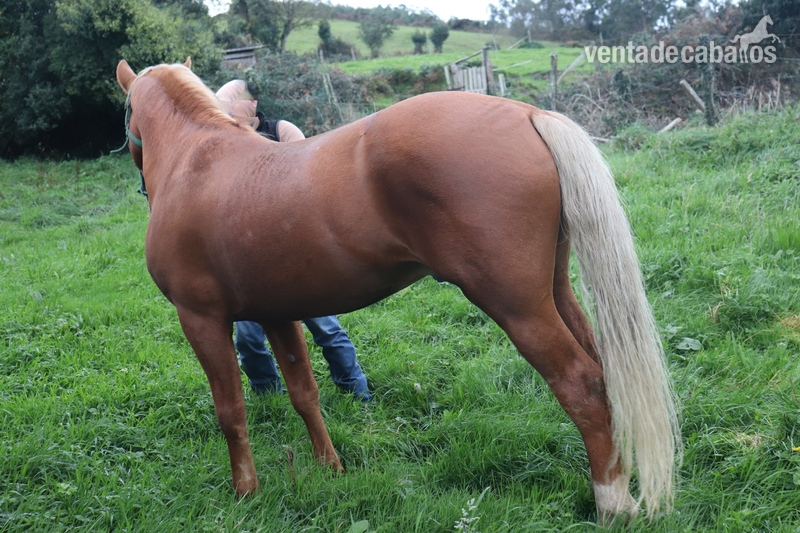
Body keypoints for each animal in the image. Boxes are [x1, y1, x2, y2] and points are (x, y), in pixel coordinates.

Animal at [115, 58, 679, 524]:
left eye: (126, 115)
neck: (198, 162)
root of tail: (526, 113)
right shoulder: (278, 314)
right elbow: (304, 394)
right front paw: (331, 468)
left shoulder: (201, 319)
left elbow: (230, 410)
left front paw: (245, 492)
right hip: (555, 293)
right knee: (604, 371)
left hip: (517, 306)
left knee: (581, 384)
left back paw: (612, 502)